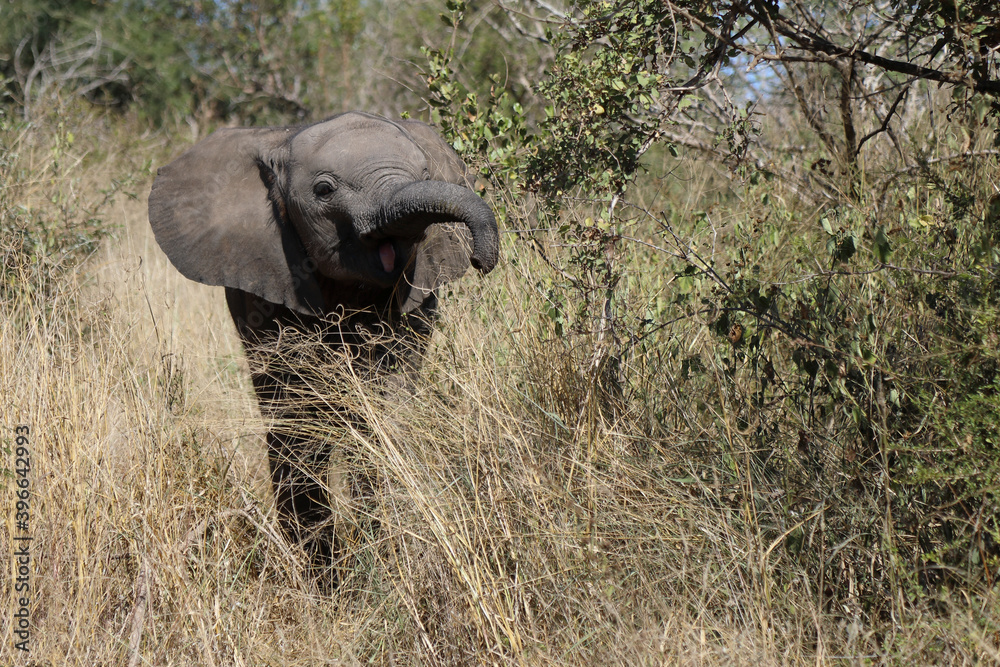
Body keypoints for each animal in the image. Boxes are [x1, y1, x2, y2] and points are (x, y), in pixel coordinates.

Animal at [147, 111, 499, 574]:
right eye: (324, 190)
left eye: (426, 175)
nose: (481, 259)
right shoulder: (267, 279)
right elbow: (300, 421)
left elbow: (385, 412)